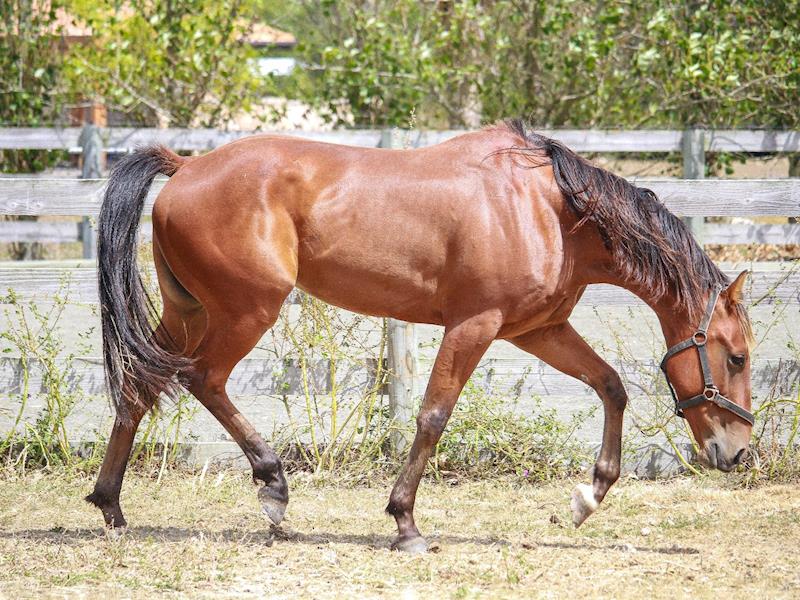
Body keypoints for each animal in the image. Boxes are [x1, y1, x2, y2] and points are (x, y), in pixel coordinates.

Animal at [86, 120, 754, 553]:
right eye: (738, 358)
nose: (736, 452)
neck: (546, 209)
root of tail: (187, 166)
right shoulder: (475, 325)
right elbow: (433, 416)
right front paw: (405, 523)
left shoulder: (539, 331)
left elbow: (611, 385)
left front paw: (588, 499)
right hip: (246, 310)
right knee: (204, 379)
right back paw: (272, 485)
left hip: (190, 311)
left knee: (140, 386)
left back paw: (111, 505)